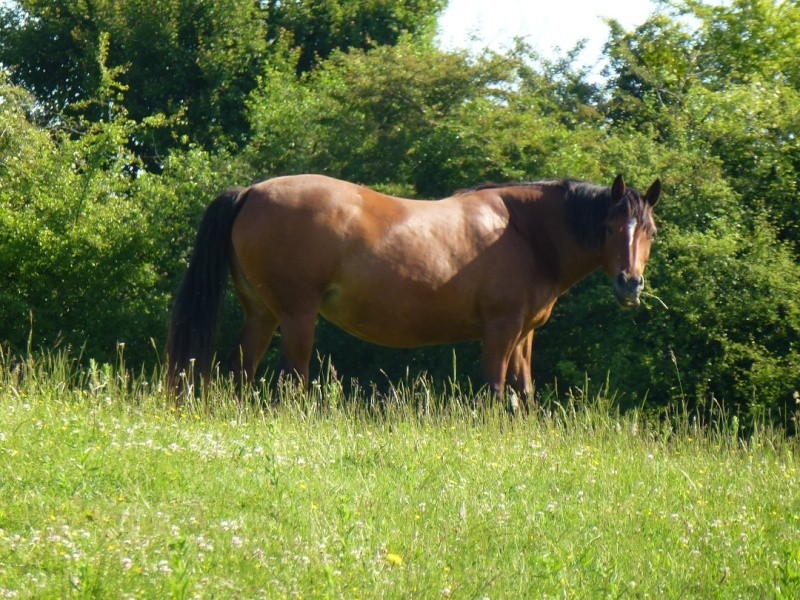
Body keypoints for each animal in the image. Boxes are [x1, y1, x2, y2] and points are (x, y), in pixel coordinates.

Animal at [166, 173, 660, 406]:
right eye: (610, 226)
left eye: (650, 230)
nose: (630, 284)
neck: (523, 231)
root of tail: (251, 191)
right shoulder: (500, 331)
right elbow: (494, 390)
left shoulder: (524, 335)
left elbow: (523, 393)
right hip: (296, 316)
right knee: (291, 378)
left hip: (262, 313)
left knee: (241, 370)